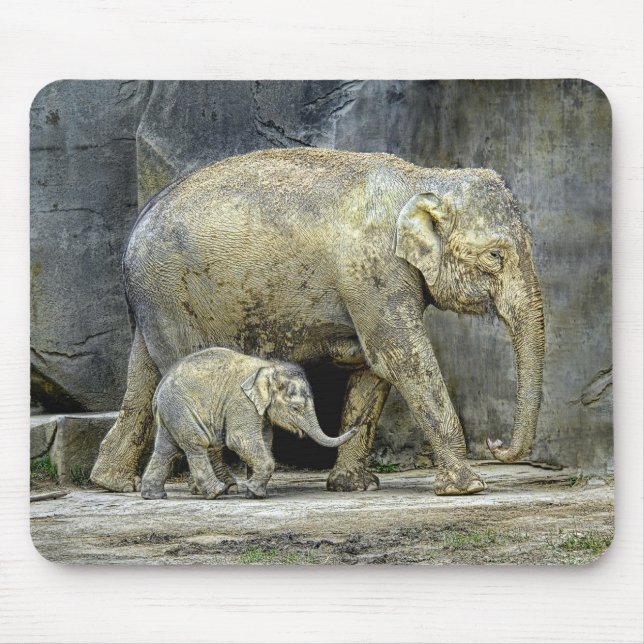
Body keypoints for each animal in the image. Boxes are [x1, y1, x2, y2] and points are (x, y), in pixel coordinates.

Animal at [141, 348, 357, 500]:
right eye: (296, 408)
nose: (355, 428)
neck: (269, 367)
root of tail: (160, 387)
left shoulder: (260, 410)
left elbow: (265, 440)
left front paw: (254, 491)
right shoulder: (241, 401)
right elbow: (239, 440)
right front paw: (254, 491)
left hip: (172, 413)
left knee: (166, 449)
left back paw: (154, 495)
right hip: (181, 409)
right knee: (196, 444)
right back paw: (217, 492)